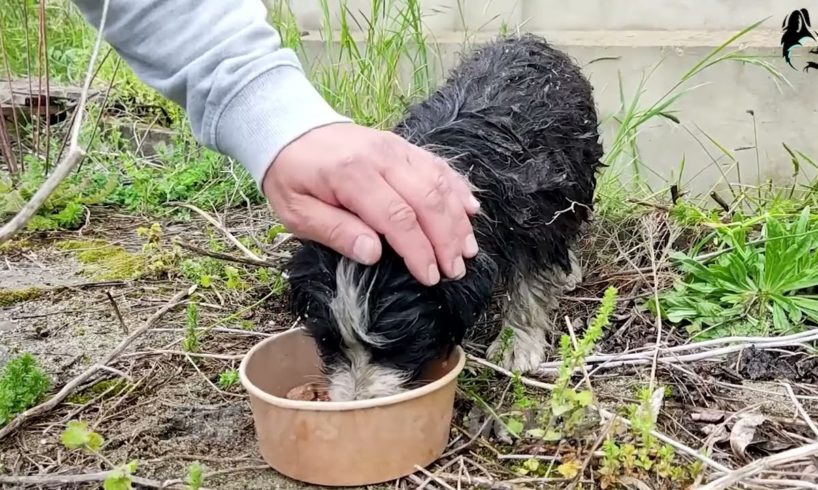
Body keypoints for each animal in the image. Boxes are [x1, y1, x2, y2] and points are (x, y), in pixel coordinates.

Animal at [286, 34, 600, 402]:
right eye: (327, 341)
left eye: (398, 346)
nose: (355, 402)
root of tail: (525, 39)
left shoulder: (534, 216)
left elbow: (529, 284)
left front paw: (516, 345)